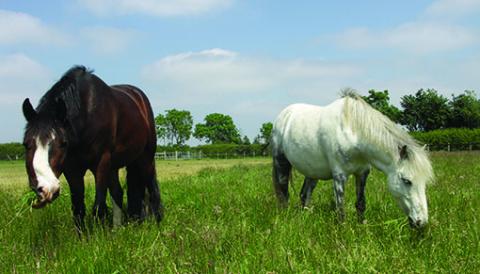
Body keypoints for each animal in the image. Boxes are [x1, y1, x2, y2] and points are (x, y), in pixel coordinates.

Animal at [22, 65, 163, 228]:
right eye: (26, 144)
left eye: (63, 143)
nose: (46, 189)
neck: (87, 112)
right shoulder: (72, 169)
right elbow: (78, 208)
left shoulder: (101, 162)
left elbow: (98, 206)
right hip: (115, 166)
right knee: (118, 192)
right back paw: (118, 228)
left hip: (145, 158)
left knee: (151, 189)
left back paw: (157, 223)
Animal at [272, 89, 434, 227]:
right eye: (406, 180)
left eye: (425, 182)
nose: (421, 222)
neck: (353, 132)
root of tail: (284, 114)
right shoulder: (339, 176)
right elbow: (340, 209)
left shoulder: (362, 173)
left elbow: (361, 203)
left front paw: (361, 227)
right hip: (281, 163)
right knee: (283, 194)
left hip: (312, 171)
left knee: (304, 194)